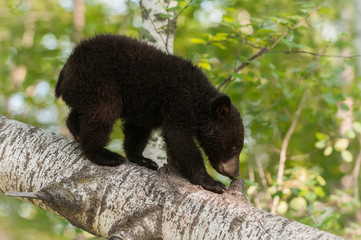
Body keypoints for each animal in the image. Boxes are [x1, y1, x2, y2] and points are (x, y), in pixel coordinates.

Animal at [54, 34, 243, 193]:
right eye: (235, 147)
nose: (235, 173)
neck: (198, 101)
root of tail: (67, 65)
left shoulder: (148, 108)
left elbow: (138, 130)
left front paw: (142, 159)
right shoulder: (179, 102)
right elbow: (179, 138)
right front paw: (212, 183)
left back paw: (76, 131)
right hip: (98, 79)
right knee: (104, 111)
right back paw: (104, 154)